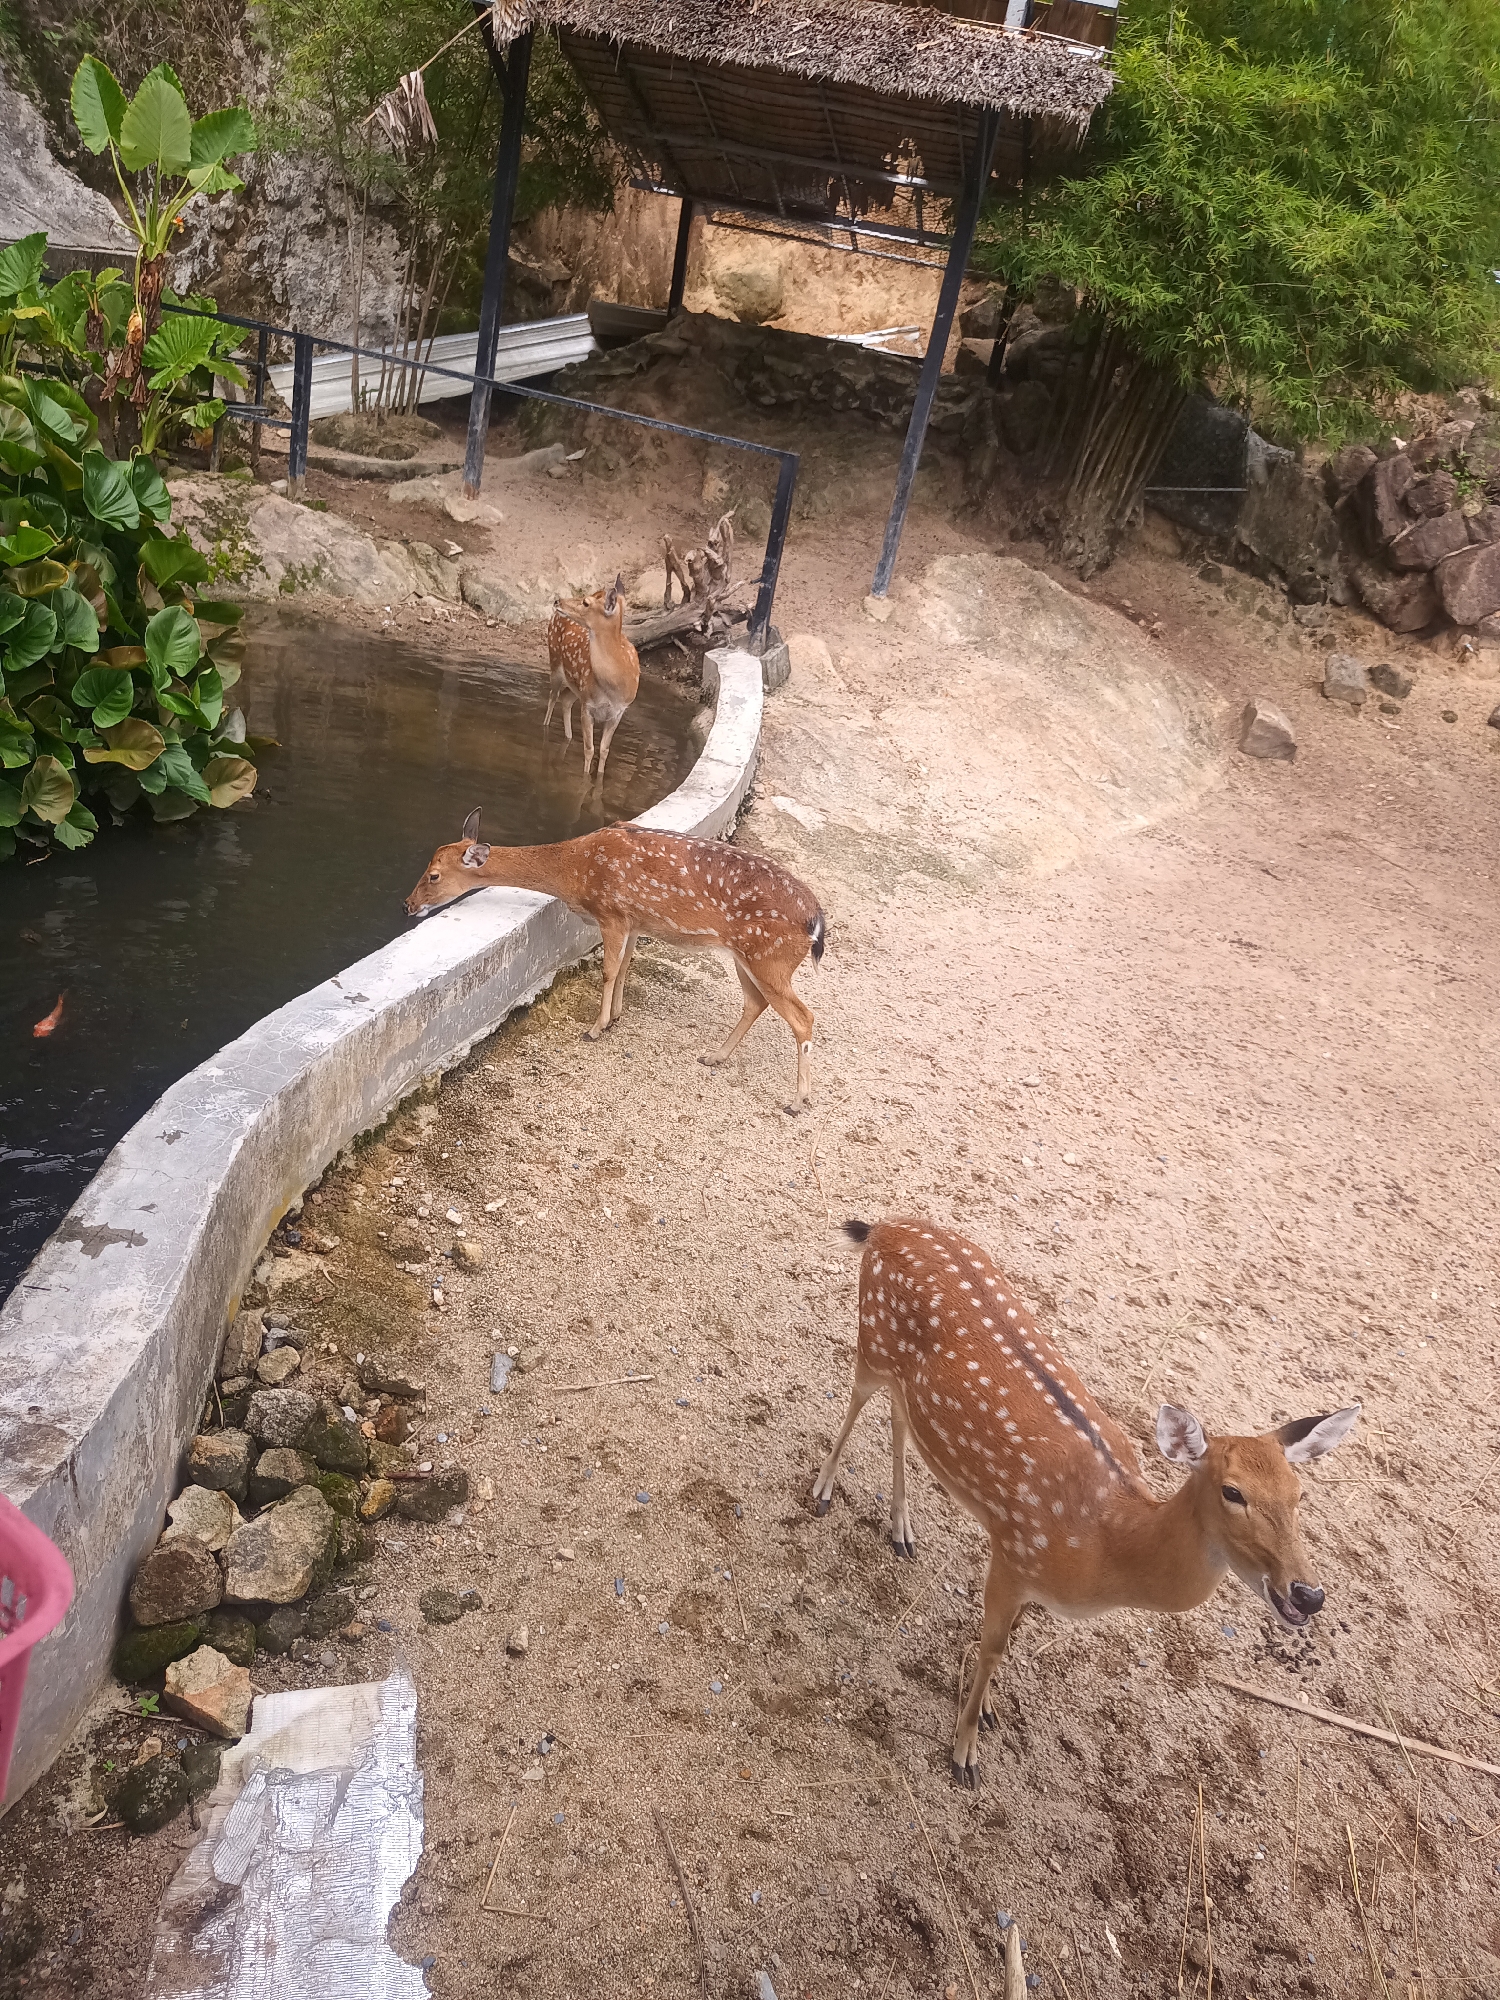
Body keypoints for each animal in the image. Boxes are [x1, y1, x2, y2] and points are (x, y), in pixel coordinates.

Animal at [405, 810, 826, 1108]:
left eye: (434, 875)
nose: (406, 904)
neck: (574, 870)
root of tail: (816, 923)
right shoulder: (635, 919)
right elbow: (625, 966)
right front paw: (617, 1017)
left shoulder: (611, 913)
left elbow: (608, 970)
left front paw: (596, 1027)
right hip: (747, 957)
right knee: (756, 1003)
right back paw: (714, 1057)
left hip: (769, 956)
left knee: (803, 1016)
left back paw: (797, 1100)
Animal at [544, 576, 641, 781]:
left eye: (586, 602)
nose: (557, 601)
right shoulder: (588, 705)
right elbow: (589, 749)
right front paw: (585, 779)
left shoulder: (618, 711)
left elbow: (604, 750)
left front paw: (599, 779)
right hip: (555, 663)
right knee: (552, 698)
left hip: (576, 688)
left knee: (565, 699)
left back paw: (568, 737)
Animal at [812, 1217, 1359, 1787]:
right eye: (1233, 1492)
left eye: (1299, 1495)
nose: (1308, 1595)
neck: (1104, 1546)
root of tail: (883, 1227)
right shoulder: (1013, 1551)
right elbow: (993, 1646)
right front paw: (965, 1754)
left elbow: (1010, 1637)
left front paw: (985, 1711)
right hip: (871, 1340)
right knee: (857, 1397)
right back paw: (822, 1491)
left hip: (904, 1382)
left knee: (899, 1418)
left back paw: (901, 1530)